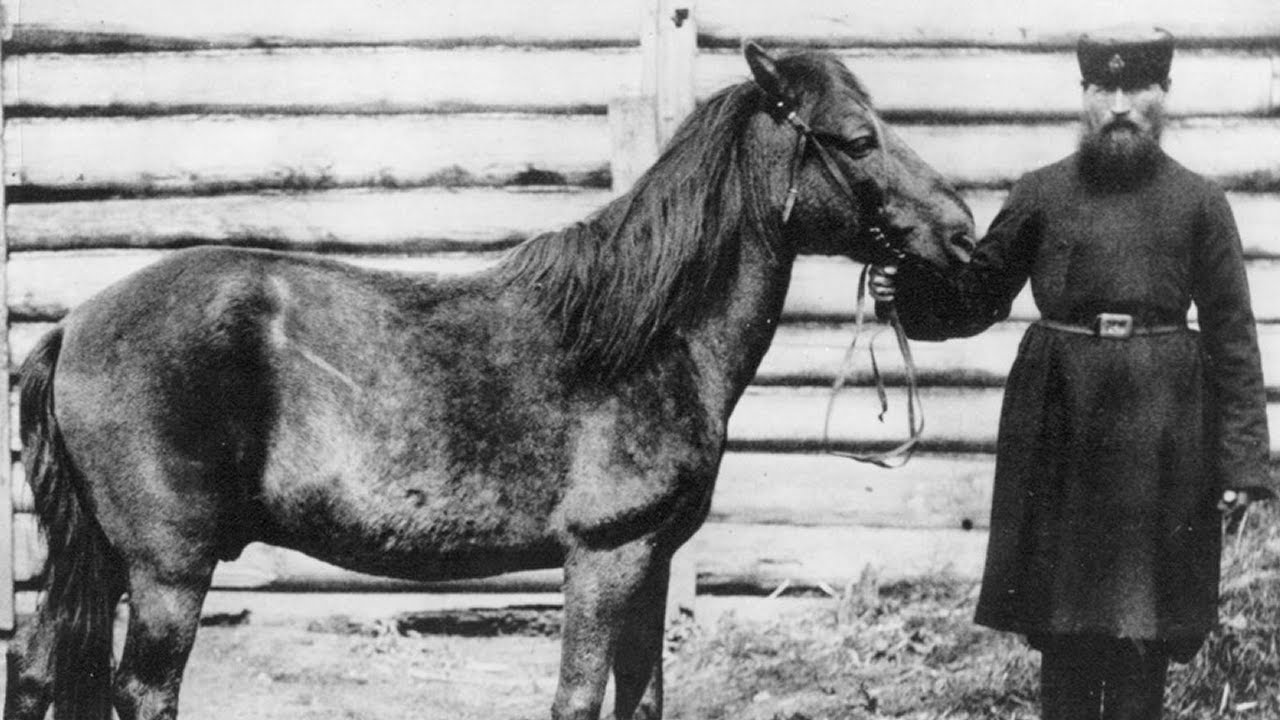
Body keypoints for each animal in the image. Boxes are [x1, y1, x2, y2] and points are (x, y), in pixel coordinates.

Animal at [7, 43, 974, 720]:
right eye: (857, 138)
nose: (963, 233)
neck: (646, 341)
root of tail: (73, 326)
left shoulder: (653, 563)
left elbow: (644, 698)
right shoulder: (604, 558)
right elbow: (578, 699)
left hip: (97, 558)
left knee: (39, 673)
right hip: (167, 571)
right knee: (144, 690)